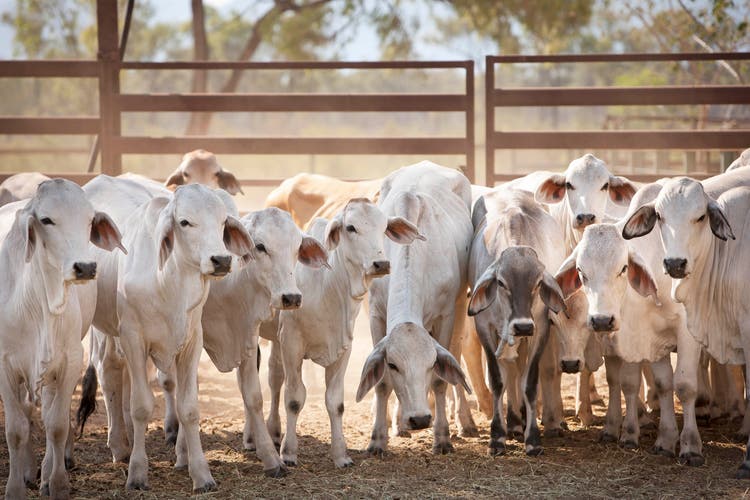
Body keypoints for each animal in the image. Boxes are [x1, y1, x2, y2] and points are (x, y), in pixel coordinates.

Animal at [0, 179, 124, 499]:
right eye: (46, 220)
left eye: (90, 220)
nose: (86, 267)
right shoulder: (4, 366)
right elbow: (16, 429)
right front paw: (15, 488)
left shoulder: (69, 360)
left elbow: (56, 425)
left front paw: (56, 484)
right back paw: (28, 470)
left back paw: (43, 472)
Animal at [82, 176, 253, 492]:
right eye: (184, 222)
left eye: (223, 221)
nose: (221, 260)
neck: (168, 282)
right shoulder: (133, 338)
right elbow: (141, 406)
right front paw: (137, 473)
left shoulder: (190, 342)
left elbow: (189, 408)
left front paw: (200, 473)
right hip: (105, 331)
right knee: (109, 372)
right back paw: (119, 446)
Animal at [356, 161, 473, 455]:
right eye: (393, 364)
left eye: (431, 363)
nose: (419, 419)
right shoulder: (376, 314)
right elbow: (382, 383)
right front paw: (378, 438)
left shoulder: (446, 315)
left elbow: (441, 380)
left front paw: (442, 437)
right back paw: (397, 422)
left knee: (457, 353)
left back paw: (465, 421)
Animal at [467, 188, 567, 455]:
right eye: (501, 282)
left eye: (538, 283)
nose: (522, 325)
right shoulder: (485, 329)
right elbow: (497, 380)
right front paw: (496, 437)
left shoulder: (540, 328)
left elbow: (529, 383)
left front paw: (533, 438)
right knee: (511, 372)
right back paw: (512, 422)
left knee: (519, 371)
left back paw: (519, 419)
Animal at [621, 167, 750, 477]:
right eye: (660, 216)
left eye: (701, 216)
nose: (675, 264)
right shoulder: (652, 333)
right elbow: (663, 383)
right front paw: (665, 441)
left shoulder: (692, 330)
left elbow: (686, 384)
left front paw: (691, 446)